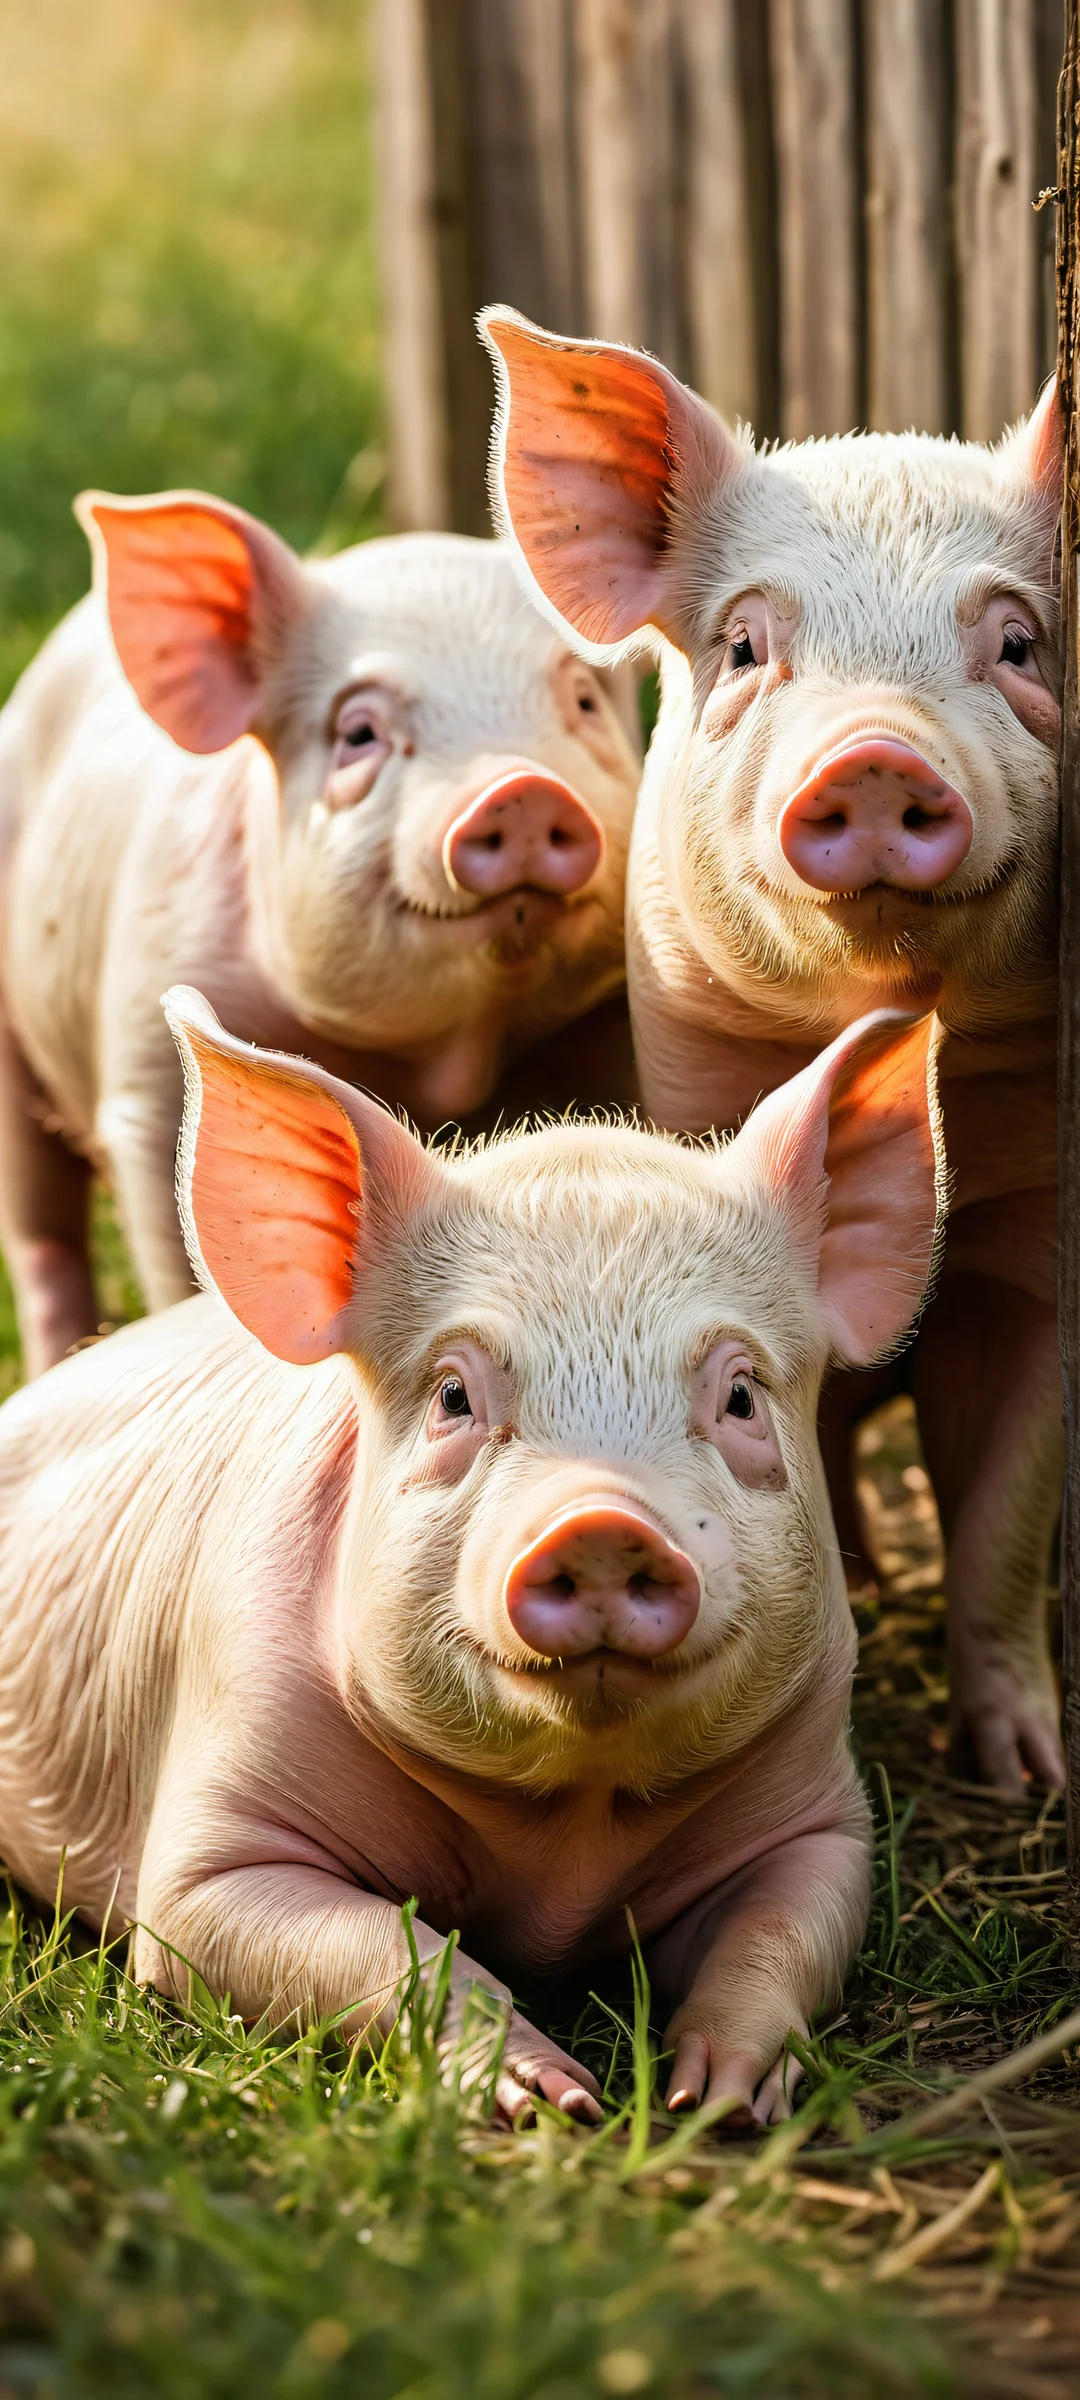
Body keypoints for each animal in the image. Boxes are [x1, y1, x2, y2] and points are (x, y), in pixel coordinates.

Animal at [0, 500, 642, 1379]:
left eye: (582, 702)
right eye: (360, 732)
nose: (519, 788)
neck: (443, 1063)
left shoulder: (602, 1022)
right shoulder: (144, 1068)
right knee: (42, 1239)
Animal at [0, 988, 942, 2124]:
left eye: (743, 1396)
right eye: (454, 1393)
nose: (602, 1523)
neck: (564, 1843)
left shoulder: (820, 1812)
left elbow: (784, 1932)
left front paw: (712, 2100)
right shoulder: (212, 1829)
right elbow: (379, 1946)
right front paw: (551, 2101)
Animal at [481, 306, 1064, 1795]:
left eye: (1021, 644)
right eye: (746, 647)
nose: (872, 756)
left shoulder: (1037, 1240)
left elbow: (1005, 1514)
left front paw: (1027, 1774)